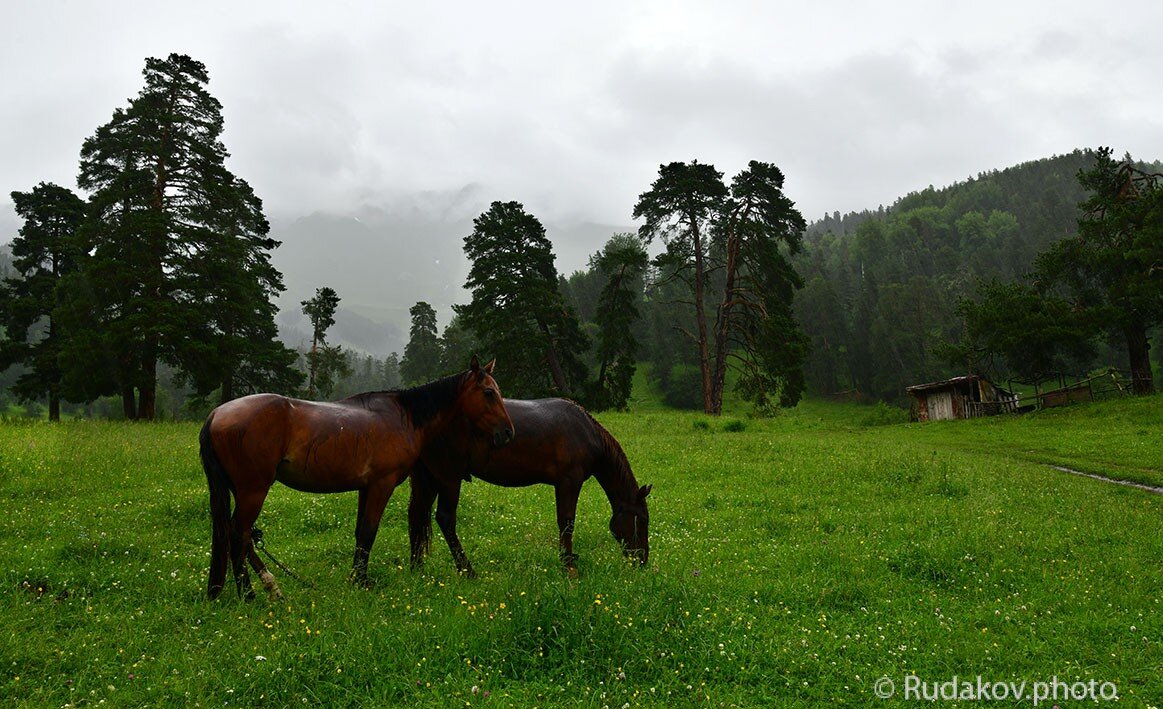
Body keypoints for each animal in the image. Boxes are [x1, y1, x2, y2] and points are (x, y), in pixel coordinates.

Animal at [200, 355, 514, 599]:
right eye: (489, 393)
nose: (508, 433)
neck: (403, 416)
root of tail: (216, 414)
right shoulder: (381, 485)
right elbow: (369, 531)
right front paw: (361, 582)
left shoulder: (365, 488)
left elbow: (360, 532)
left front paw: (355, 578)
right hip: (253, 490)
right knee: (238, 535)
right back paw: (250, 595)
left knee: (240, 537)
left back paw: (271, 588)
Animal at [407, 397, 646, 574]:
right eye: (642, 520)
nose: (643, 560)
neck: (586, 432)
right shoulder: (569, 481)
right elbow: (567, 523)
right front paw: (569, 566)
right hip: (449, 478)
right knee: (445, 519)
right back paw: (467, 570)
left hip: (430, 479)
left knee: (417, 515)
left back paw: (417, 568)